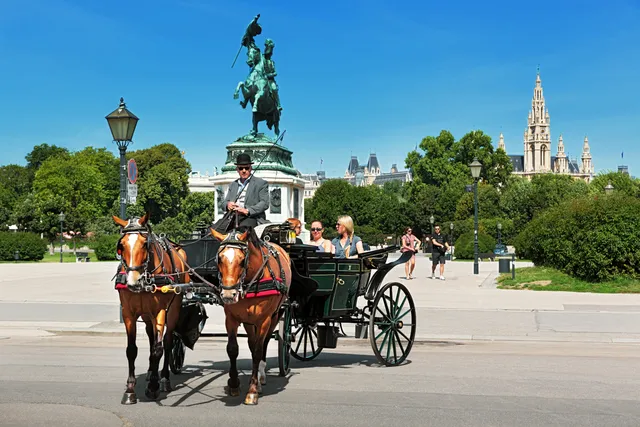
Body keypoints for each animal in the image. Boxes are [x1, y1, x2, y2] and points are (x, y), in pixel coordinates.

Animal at [112, 214, 190, 404]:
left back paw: (164, 379)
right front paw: (130, 389)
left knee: (167, 342)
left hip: (173, 309)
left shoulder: (160, 312)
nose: (133, 282)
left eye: (144, 244)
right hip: (147, 316)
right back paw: (150, 371)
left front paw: (153, 387)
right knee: (151, 336)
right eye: (121, 245)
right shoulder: (128, 313)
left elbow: (158, 349)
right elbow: (131, 349)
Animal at [209, 226, 292, 406]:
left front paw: (252, 390)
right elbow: (232, 349)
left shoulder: (264, 320)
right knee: (252, 342)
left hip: (275, 315)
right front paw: (234, 384)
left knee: (264, 343)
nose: (228, 295)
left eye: (242, 260)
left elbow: (257, 351)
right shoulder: (231, 318)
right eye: (219, 259)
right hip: (248, 321)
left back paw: (260, 377)